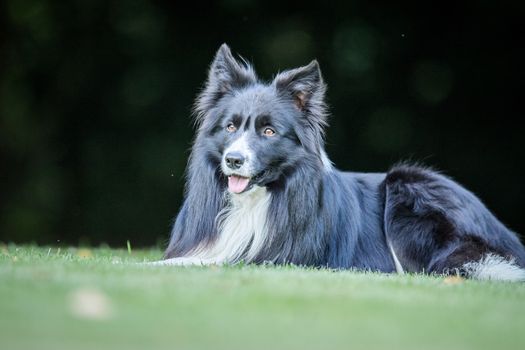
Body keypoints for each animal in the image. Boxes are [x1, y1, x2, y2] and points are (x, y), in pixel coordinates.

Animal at [159, 43, 524, 282]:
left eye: (268, 131)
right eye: (231, 127)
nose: (233, 160)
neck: (256, 201)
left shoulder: (279, 259)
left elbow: (203, 263)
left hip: (408, 190)